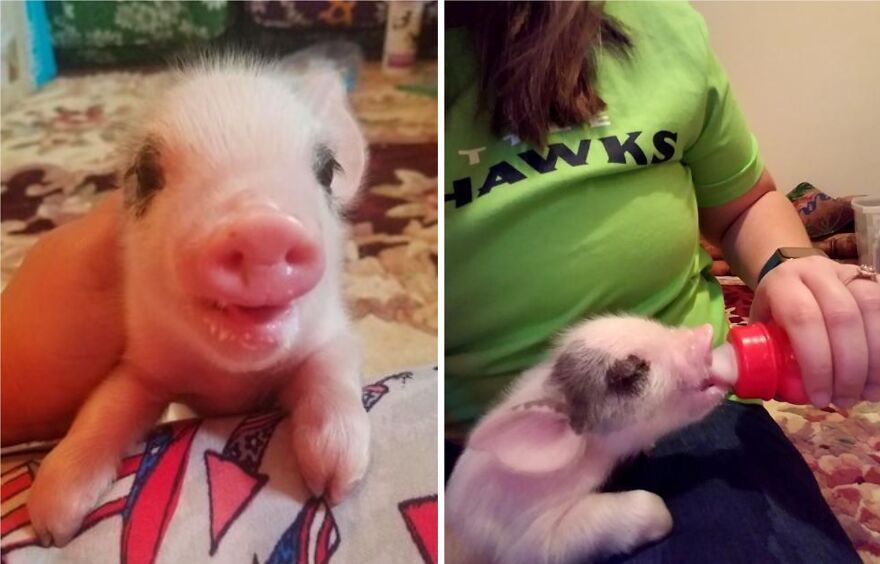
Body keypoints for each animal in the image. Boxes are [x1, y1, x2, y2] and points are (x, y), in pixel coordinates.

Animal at [26, 54, 370, 547]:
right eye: (146, 174)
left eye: (326, 172)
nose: (262, 226)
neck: (229, 386)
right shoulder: (144, 365)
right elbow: (106, 405)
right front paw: (50, 525)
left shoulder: (332, 334)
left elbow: (331, 368)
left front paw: (336, 483)